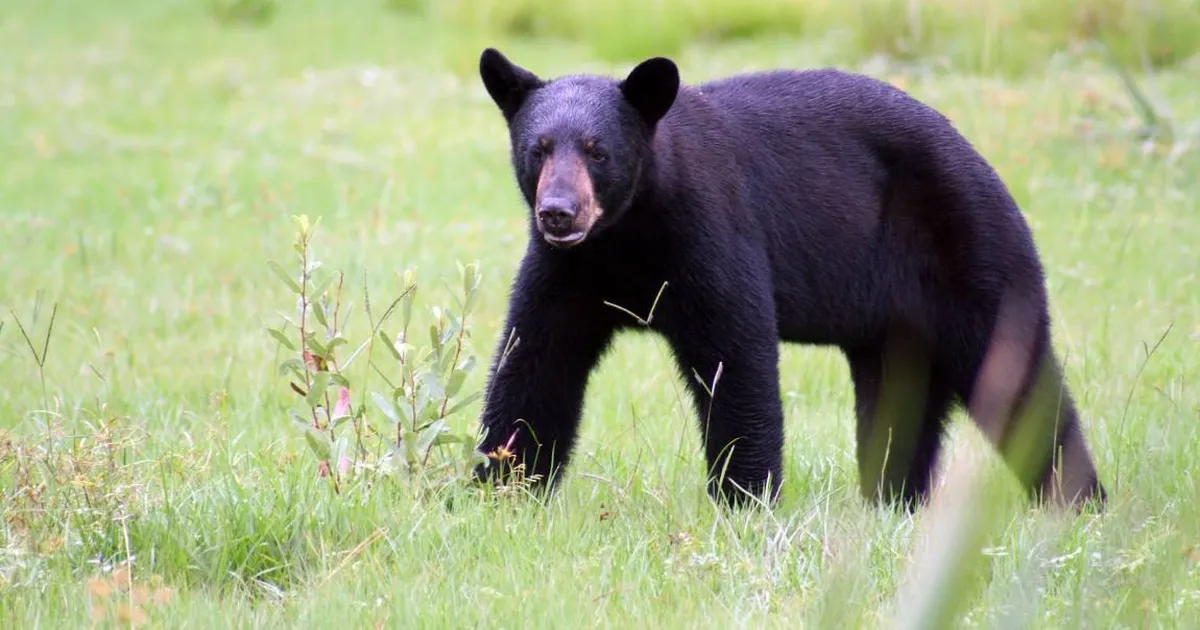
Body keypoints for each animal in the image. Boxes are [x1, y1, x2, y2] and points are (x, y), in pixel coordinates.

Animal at [472, 46, 1106, 511]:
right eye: (539, 148)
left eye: (597, 151)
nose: (559, 212)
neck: (628, 234)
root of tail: (987, 167)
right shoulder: (569, 270)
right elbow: (536, 360)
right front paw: (502, 486)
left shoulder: (711, 231)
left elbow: (734, 353)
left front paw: (744, 499)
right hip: (897, 324)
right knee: (896, 399)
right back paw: (894, 500)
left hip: (973, 254)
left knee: (1018, 379)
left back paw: (1077, 498)